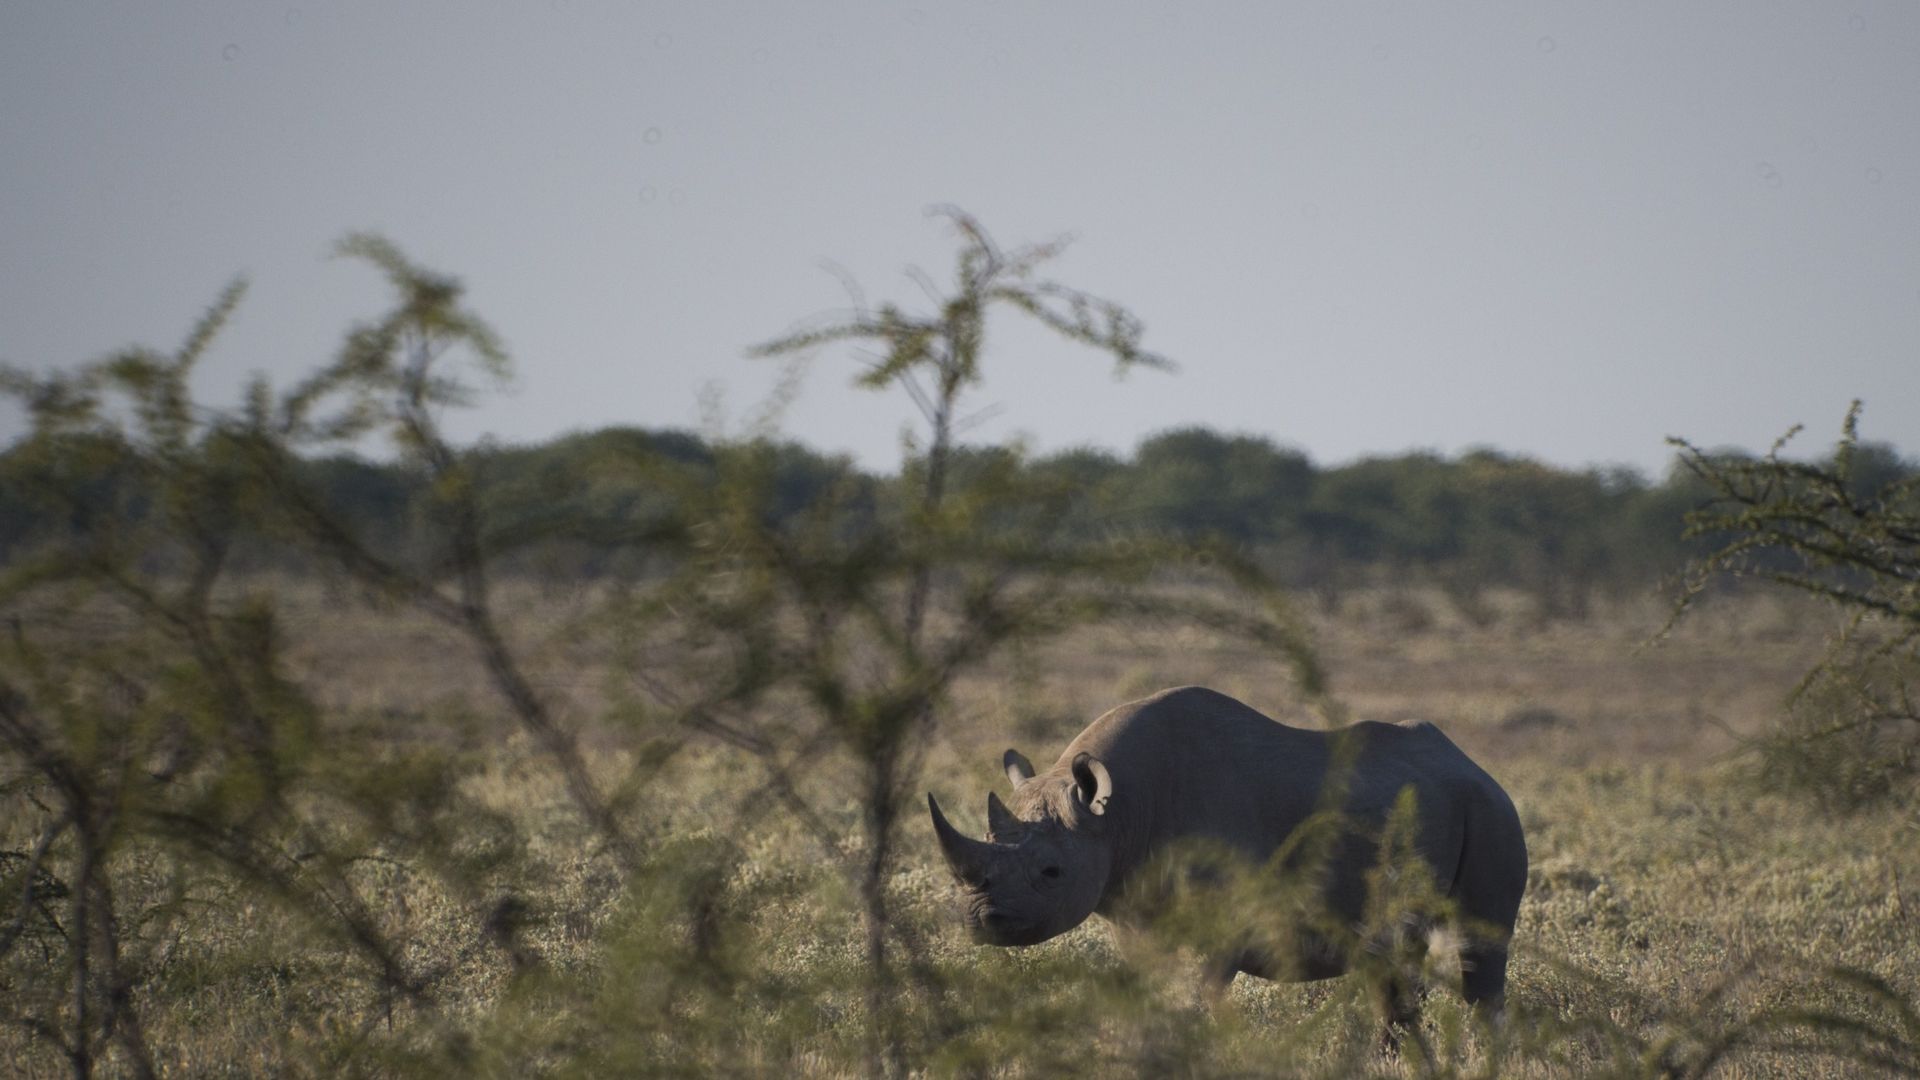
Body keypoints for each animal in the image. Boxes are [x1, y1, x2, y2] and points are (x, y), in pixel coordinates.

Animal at [927, 686, 1527, 1027]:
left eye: (1051, 872)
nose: (979, 922)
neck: (1116, 815)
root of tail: (1476, 766)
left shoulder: (1224, 921)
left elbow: (1200, 993)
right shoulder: (1134, 911)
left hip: (1492, 813)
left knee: (1477, 961)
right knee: (1393, 969)